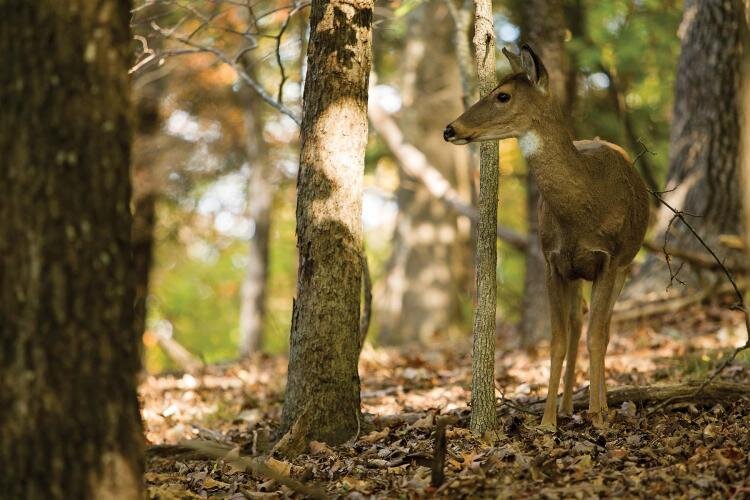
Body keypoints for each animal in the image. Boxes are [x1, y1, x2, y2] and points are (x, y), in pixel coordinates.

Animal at [446, 45, 652, 430]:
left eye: (502, 95)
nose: (450, 129)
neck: (586, 206)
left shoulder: (609, 259)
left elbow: (597, 336)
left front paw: (599, 415)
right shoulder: (553, 262)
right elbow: (557, 340)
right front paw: (547, 420)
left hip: (624, 265)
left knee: (602, 327)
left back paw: (596, 405)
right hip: (575, 273)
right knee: (576, 321)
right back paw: (569, 405)